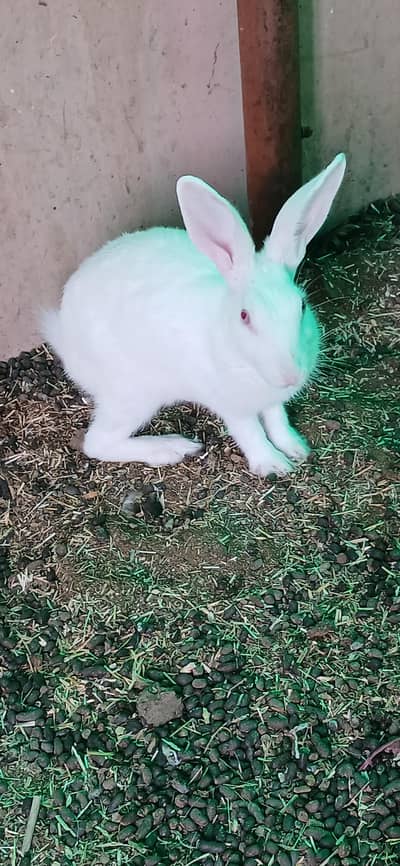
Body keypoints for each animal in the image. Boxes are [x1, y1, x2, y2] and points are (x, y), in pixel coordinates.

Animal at [42, 153, 346, 476]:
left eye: (301, 305)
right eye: (244, 316)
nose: (290, 376)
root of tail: (66, 339)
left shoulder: (272, 400)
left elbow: (277, 419)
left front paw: (295, 447)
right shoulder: (230, 404)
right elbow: (250, 431)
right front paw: (272, 464)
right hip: (132, 396)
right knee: (97, 443)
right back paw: (171, 448)